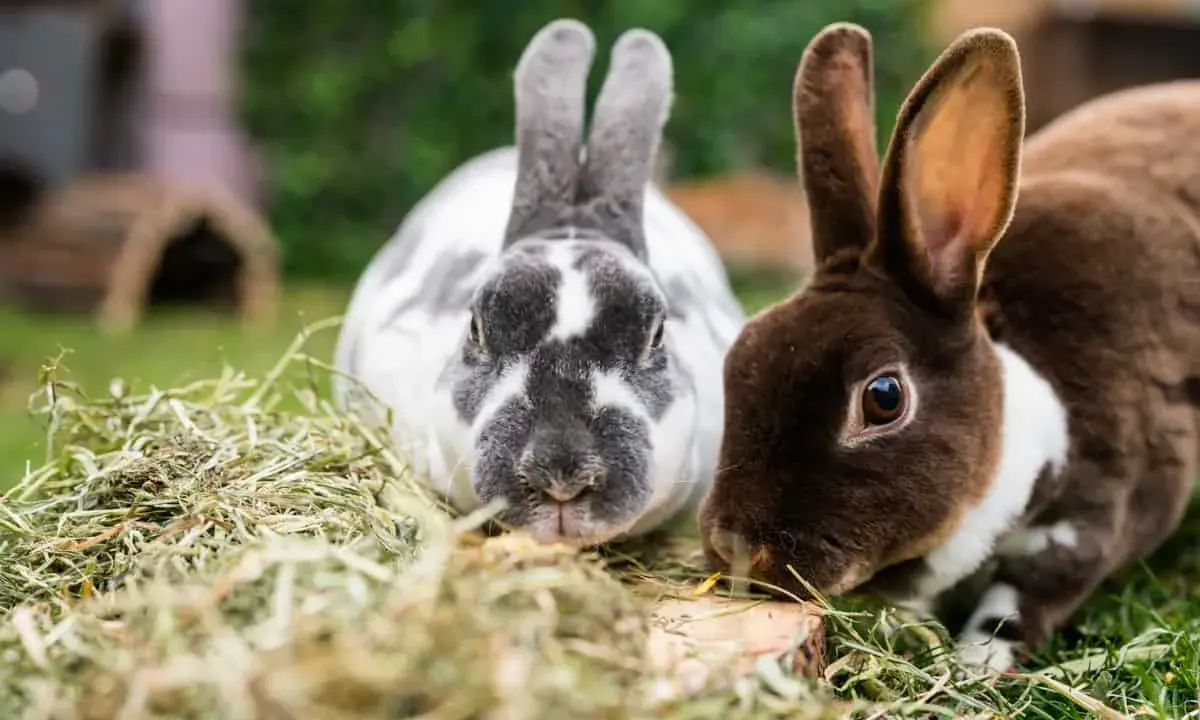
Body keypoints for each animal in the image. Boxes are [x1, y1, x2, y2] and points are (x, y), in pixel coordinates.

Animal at [698, 21, 1200, 672]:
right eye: (738, 360)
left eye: (884, 397)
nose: (736, 550)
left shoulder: (1088, 522)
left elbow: (1022, 602)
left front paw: (974, 664)